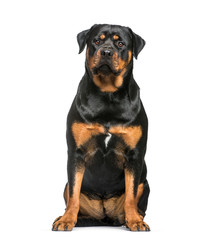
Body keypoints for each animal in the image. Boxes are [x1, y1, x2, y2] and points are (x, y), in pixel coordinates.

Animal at [51, 23, 150, 231]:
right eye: (96, 40)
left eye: (120, 43)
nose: (106, 52)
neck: (107, 94)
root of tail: (105, 216)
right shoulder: (76, 152)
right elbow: (74, 193)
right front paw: (66, 220)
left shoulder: (135, 155)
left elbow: (130, 195)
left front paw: (135, 221)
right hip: (67, 186)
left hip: (145, 183)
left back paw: (132, 218)